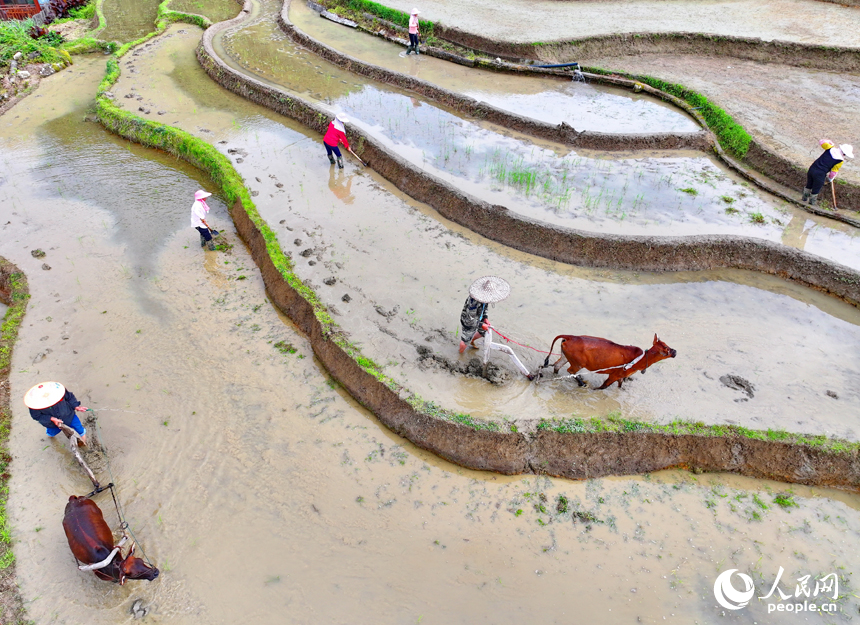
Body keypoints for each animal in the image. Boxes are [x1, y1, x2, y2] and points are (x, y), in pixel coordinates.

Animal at [544, 334, 680, 388]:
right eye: (666, 348)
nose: (675, 351)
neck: (640, 359)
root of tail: (570, 336)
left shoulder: (621, 377)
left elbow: (620, 386)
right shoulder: (614, 375)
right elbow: (602, 387)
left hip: (566, 357)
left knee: (557, 366)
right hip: (577, 364)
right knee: (571, 371)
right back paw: (582, 383)